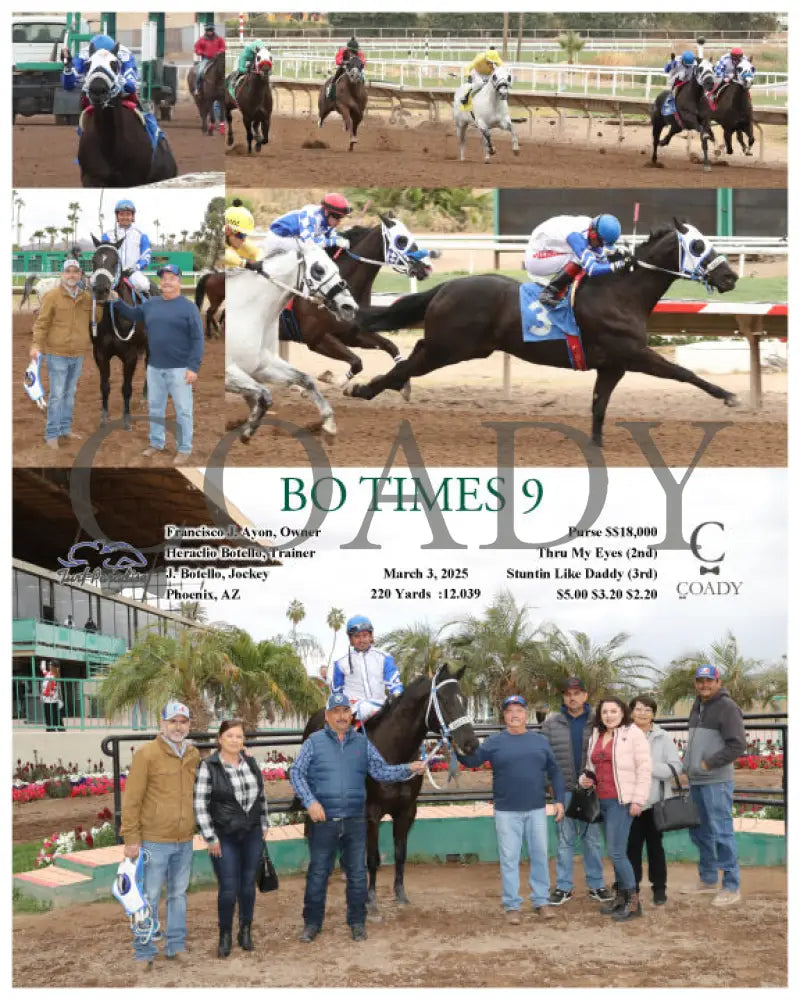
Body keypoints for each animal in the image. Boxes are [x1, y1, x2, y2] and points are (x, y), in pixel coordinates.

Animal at [77, 49, 177, 187]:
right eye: (87, 64)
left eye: (114, 64)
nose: (97, 89)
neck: (109, 146)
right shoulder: (91, 178)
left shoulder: (133, 179)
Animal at [87, 237, 149, 429]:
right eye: (93, 261)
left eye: (115, 262)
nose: (101, 290)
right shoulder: (100, 354)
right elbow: (104, 386)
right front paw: (104, 417)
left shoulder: (130, 356)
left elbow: (126, 388)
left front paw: (127, 419)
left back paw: (145, 399)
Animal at [225, 239, 358, 442]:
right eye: (318, 269)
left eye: (336, 267)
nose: (349, 307)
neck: (248, 311)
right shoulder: (229, 372)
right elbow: (265, 395)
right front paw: (248, 430)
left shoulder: (262, 366)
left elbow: (306, 379)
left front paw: (329, 424)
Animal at [286, 215, 435, 392]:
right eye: (401, 240)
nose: (427, 267)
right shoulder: (316, 338)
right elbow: (357, 361)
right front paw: (330, 379)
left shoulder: (352, 333)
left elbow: (390, 346)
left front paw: (404, 384)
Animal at [350, 219, 740, 448]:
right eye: (698, 246)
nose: (730, 276)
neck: (620, 292)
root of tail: (446, 287)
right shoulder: (635, 354)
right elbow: (684, 372)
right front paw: (729, 396)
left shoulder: (613, 365)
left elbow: (599, 405)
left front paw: (596, 446)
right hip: (448, 347)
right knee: (409, 362)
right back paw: (364, 389)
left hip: (450, 346)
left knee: (409, 359)